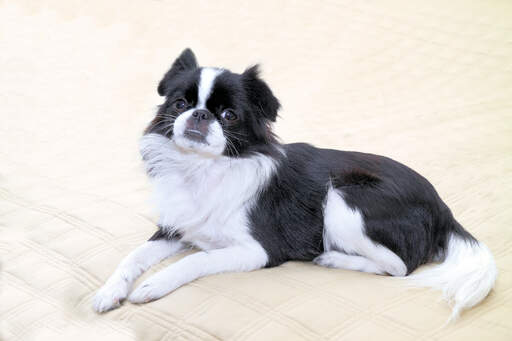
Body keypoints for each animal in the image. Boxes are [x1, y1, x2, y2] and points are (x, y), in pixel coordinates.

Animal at [92, 47, 496, 318]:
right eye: (179, 104)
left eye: (229, 115)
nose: (201, 114)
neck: (204, 169)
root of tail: (443, 208)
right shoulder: (176, 229)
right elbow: (133, 256)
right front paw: (110, 290)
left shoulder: (258, 251)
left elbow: (196, 260)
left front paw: (153, 284)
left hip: (342, 198)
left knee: (398, 266)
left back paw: (333, 258)